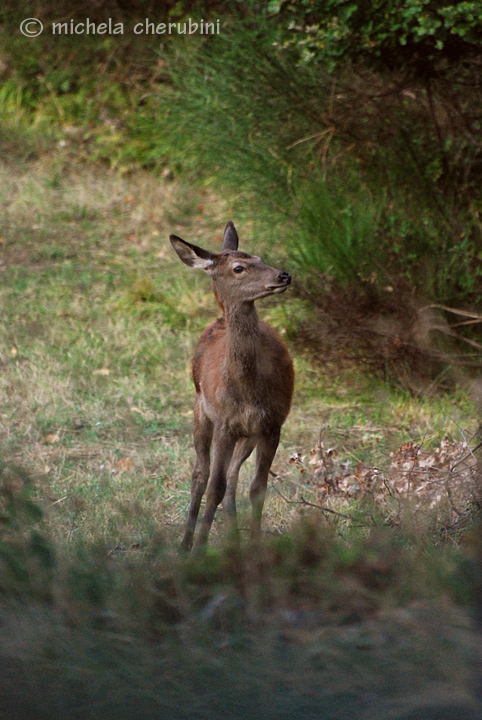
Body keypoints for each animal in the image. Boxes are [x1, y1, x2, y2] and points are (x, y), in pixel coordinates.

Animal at [171, 221, 296, 552]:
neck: (249, 389)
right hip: (200, 409)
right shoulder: (225, 423)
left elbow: (257, 488)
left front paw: (253, 545)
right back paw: (186, 543)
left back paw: (233, 539)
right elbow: (213, 487)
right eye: (238, 268)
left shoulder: (271, 424)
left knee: (233, 477)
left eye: (260, 257)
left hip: (247, 434)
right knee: (201, 476)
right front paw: (200, 548)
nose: (284, 275)